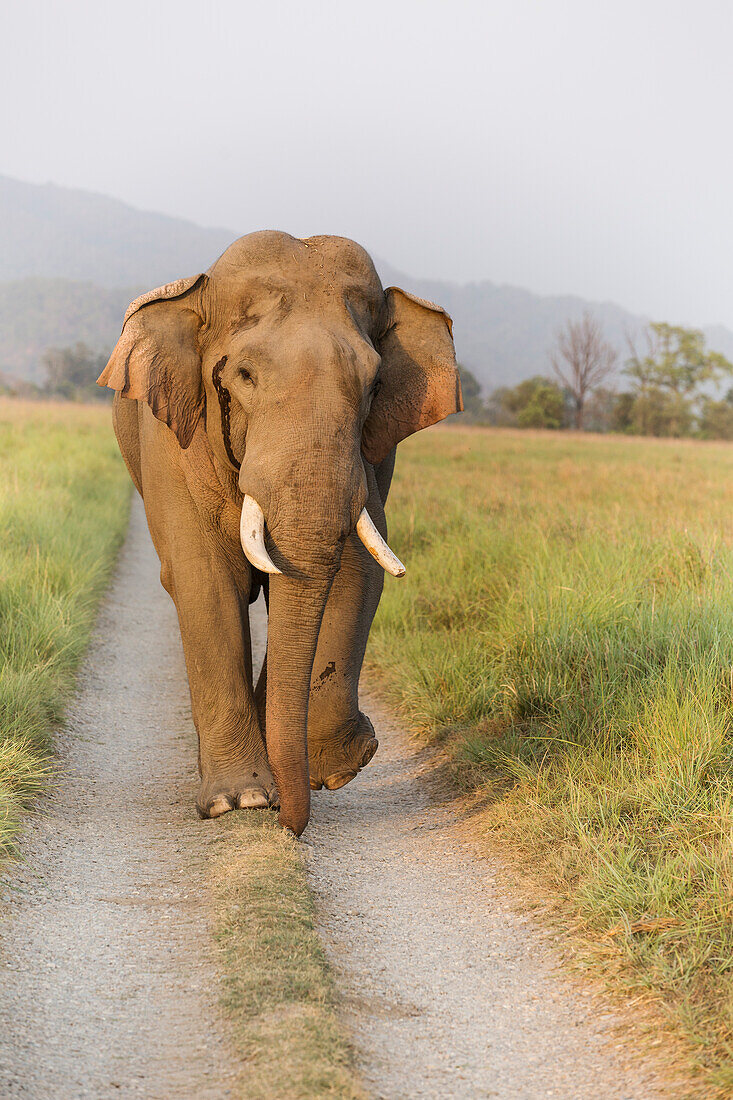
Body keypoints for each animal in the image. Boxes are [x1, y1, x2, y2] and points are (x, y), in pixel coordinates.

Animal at [98, 232, 457, 831]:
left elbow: (357, 571)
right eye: (243, 376)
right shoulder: (175, 442)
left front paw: (331, 769)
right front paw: (241, 800)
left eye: (374, 384)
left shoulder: (367, 459)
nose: (291, 823)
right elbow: (204, 582)